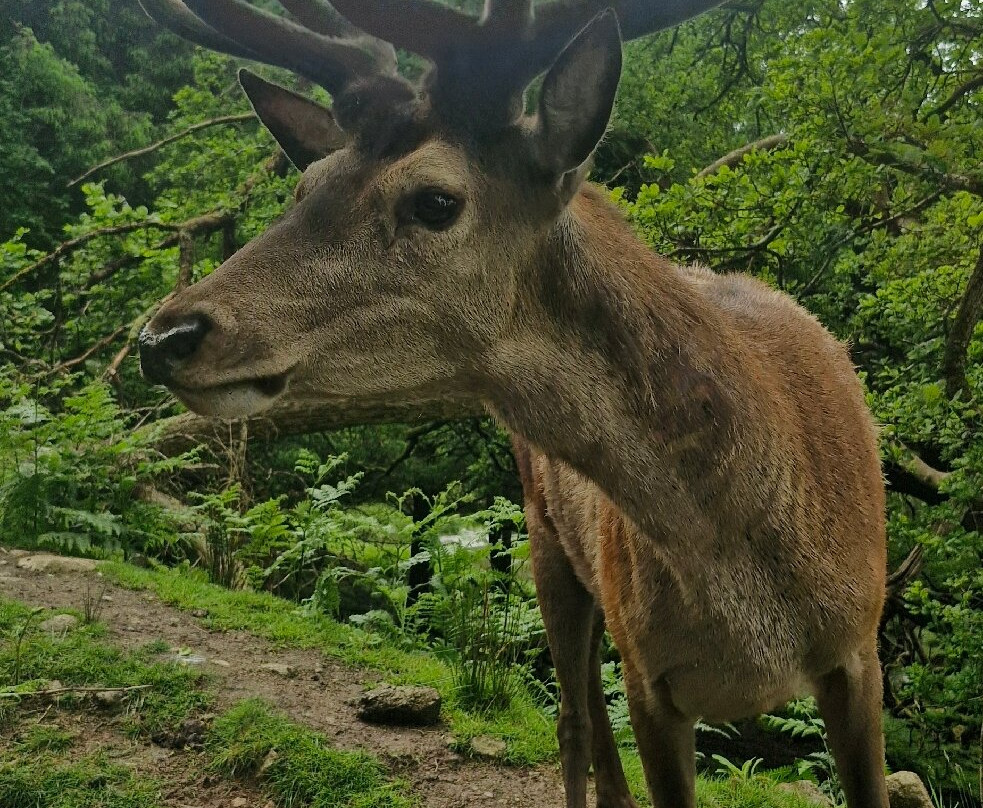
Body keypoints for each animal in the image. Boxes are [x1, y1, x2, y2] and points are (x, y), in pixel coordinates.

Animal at [135, 2, 891, 807]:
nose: (165, 335)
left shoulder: (859, 650)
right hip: (546, 540)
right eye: (305, 185)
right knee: (575, 718)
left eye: (435, 200)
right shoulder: (650, 677)